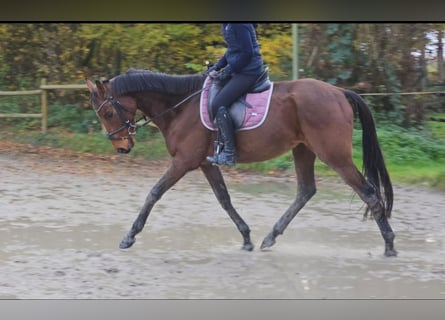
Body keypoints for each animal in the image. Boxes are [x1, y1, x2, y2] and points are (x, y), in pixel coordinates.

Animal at [86, 69, 396, 258]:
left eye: (109, 112)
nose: (122, 147)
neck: (180, 107)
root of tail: (339, 92)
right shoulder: (206, 163)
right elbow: (224, 199)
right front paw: (246, 238)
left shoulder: (184, 161)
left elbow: (154, 193)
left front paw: (129, 236)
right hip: (304, 150)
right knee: (306, 191)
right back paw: (270, 237)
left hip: (334, 155)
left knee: (368, 192)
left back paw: (390, 245)